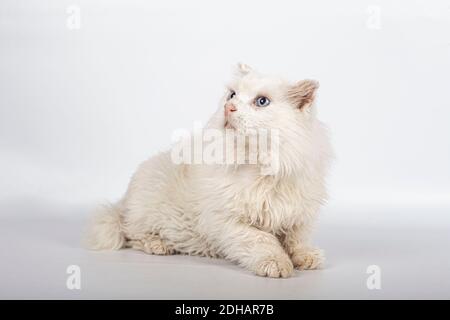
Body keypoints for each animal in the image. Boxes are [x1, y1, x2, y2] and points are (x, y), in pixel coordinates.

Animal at [86, 64, 332, 278]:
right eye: (232, 95)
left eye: (262, 102)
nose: (228, 107)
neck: (262, 166)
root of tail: (124, 201)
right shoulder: (229, 221)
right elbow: (262, 240)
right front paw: (277, 264)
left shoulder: (299, 215)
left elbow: (297, 240)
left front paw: (306, 257)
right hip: (146, 209)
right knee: (131, 234)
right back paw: (159, 245)